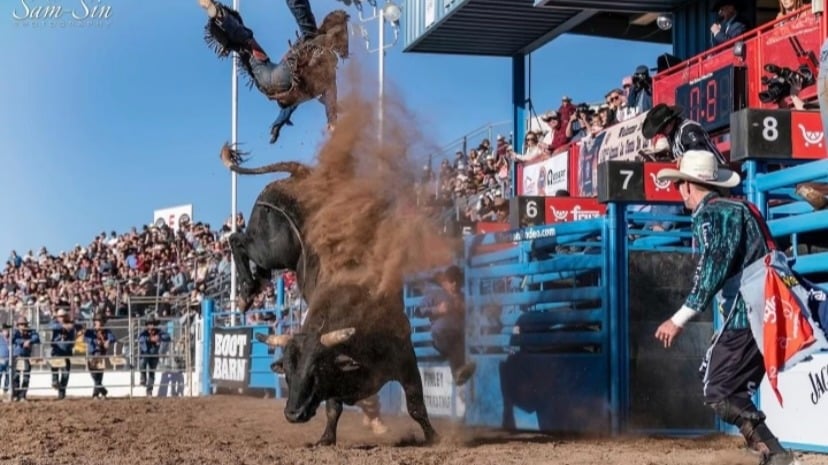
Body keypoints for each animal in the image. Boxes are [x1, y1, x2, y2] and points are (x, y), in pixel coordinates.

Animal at [257, 282, 439, 446]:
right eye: (286, 373)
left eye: (318, 368)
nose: (293, 414)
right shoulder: (334, 383)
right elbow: (332, 410)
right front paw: (326, 438)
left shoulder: (406, 363)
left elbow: (415, 406)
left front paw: (433, 437)